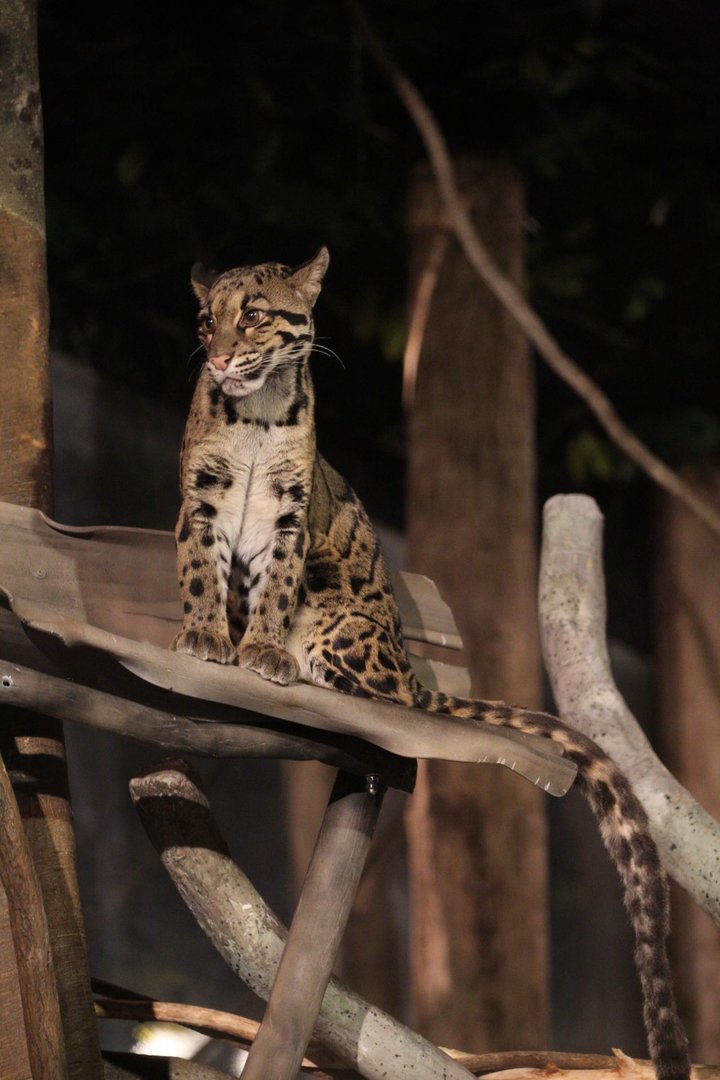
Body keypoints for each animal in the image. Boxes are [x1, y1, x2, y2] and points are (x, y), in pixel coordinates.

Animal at [171, 246, 690, 1080]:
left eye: (250, 315)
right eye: (203, 320)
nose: (217, 358)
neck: (259, 414)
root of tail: (410, 668)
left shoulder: (289, 515)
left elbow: (276, 585)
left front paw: (260, 650)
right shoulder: (202, 499)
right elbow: (197, 572)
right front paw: (205, 635)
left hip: (344, 613)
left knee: (381, 691)